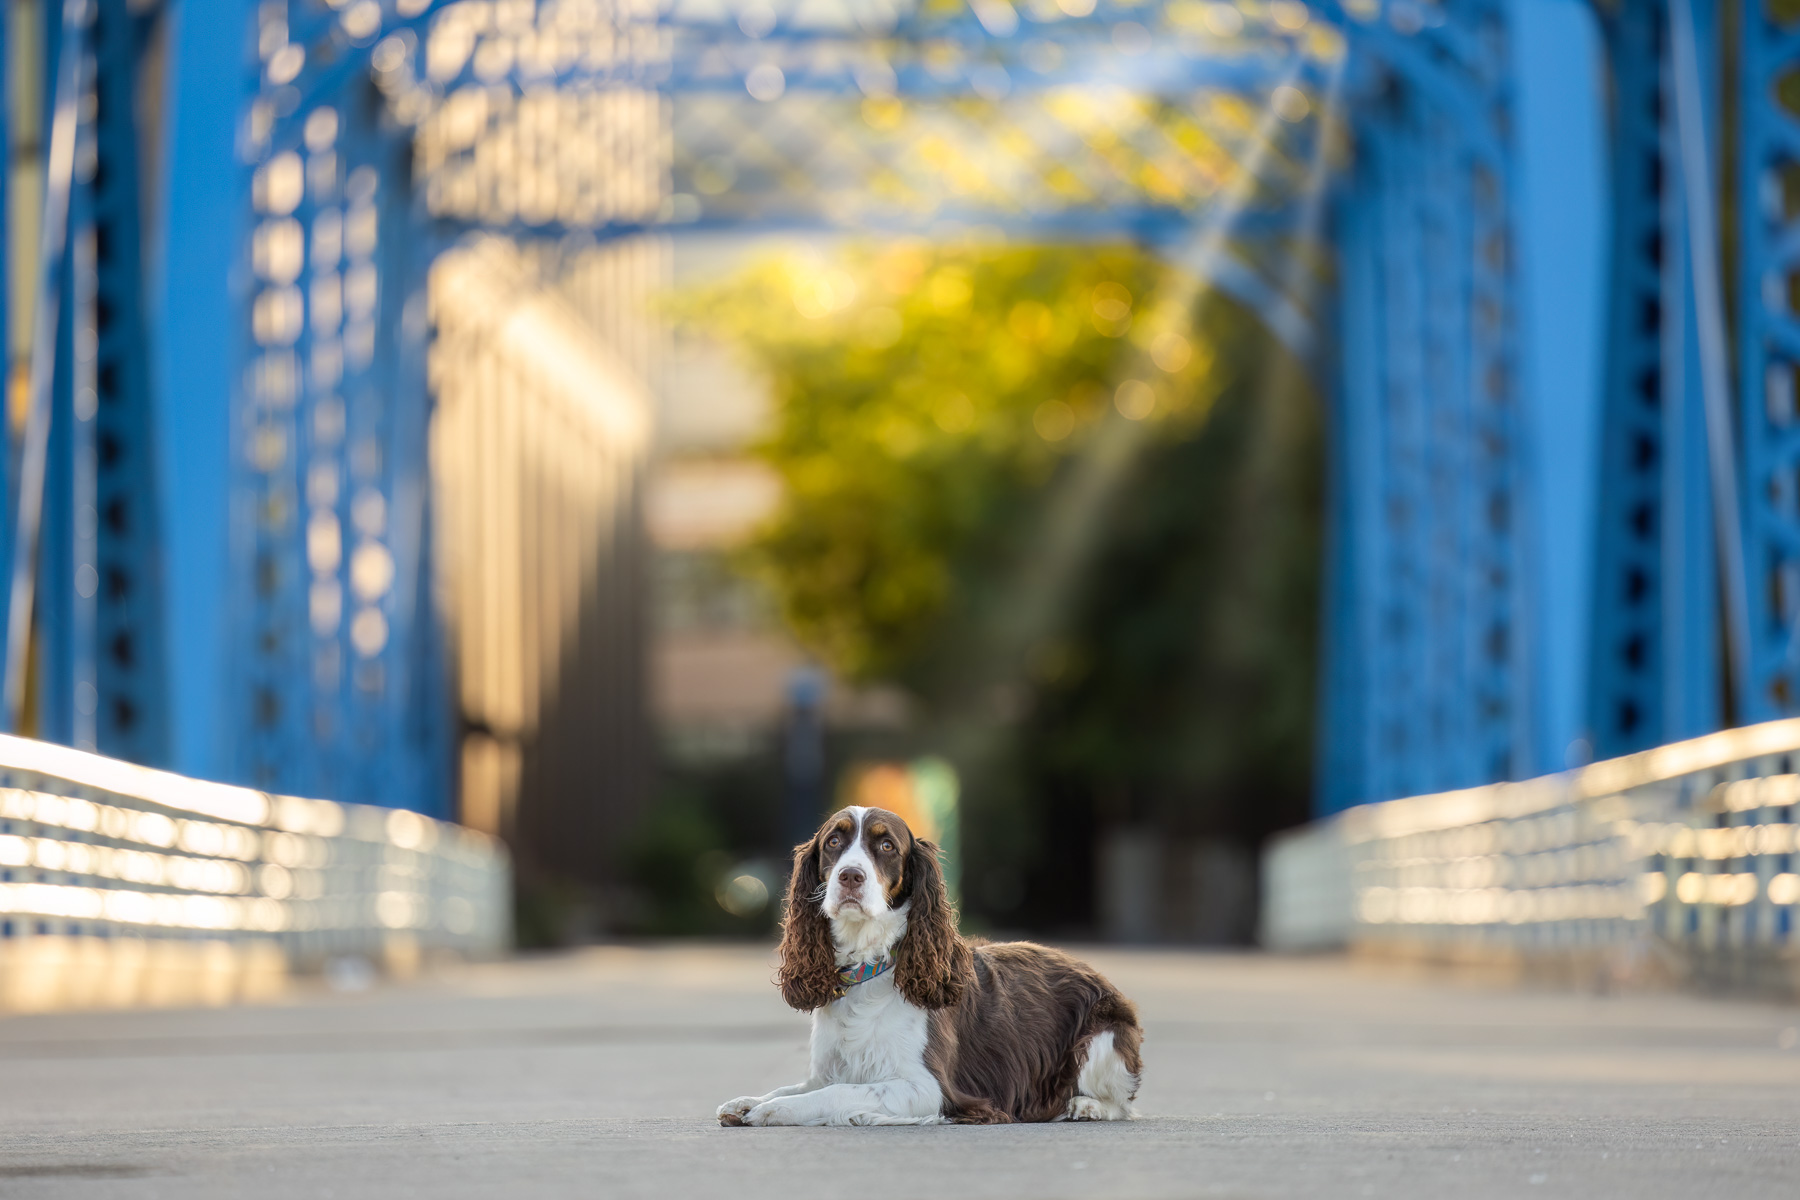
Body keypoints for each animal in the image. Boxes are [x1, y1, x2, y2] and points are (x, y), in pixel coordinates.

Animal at [712, 805, 1137, 1129]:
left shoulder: (931, 1089)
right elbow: (801, 1085)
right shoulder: (828, 1070)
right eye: (833, 841)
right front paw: (748, 1101)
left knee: (1121, 1104)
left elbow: (837, 1092)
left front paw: (774, 1110)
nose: (850, 876)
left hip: (1104, 1038)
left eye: (886, 845)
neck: (868, 968)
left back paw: (1085, 1106)